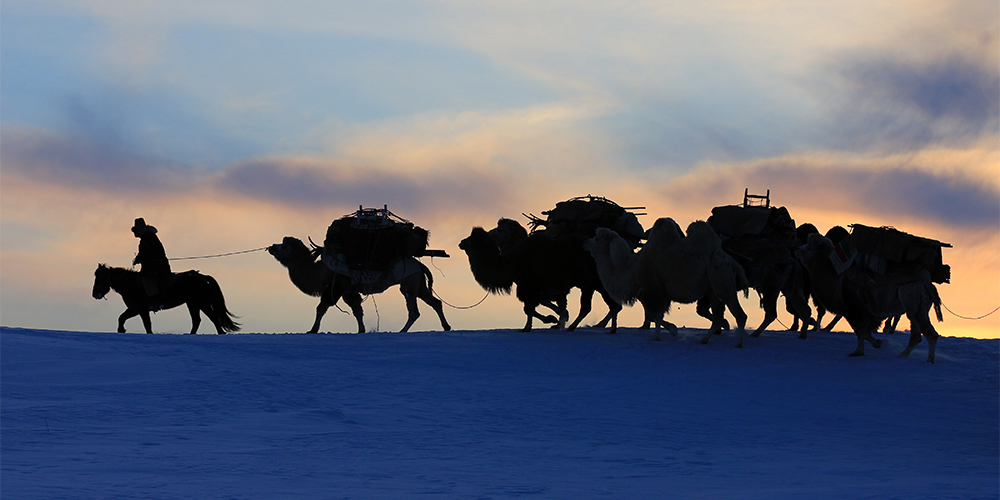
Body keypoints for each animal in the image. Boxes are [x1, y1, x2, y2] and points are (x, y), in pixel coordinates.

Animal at [94, 264, 242, 334]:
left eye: (100, 277)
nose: (95, 293)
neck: (131, 284)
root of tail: (202, 277)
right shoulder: (134, 309)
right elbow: (121, 318)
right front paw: (121, 330)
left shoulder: (142, 310)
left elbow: (147, 325)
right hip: (192, 303)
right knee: (196, 320)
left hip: (202, 303)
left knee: (213, 318)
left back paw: (220, 333)